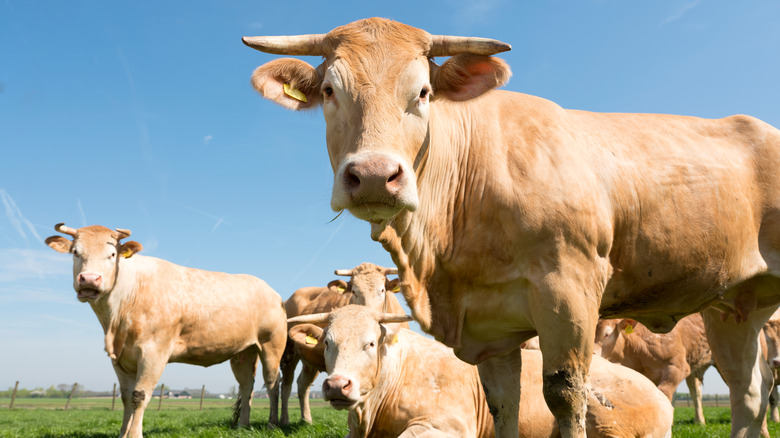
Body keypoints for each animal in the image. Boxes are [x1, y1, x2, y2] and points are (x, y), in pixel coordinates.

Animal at [44, 224, 286, 436]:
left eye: (112, 254)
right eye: (75, 252)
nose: (89, 279)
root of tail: (270, 290)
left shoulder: (154, 352)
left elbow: (139, 396)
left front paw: (134, 435)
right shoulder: (119, 358)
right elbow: (125, 397)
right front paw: (123, 433)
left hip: (272, 344)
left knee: (273, 383)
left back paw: (272, 424)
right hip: (242, 352)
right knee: (247, 386)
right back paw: (242, 427)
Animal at [280, 264, 406, 424]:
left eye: (382, 290)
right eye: (354, 291)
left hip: (310, 360)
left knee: (302, 384)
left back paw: (307, 419)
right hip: (287, 353)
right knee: (285, 385)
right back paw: (281, 420)